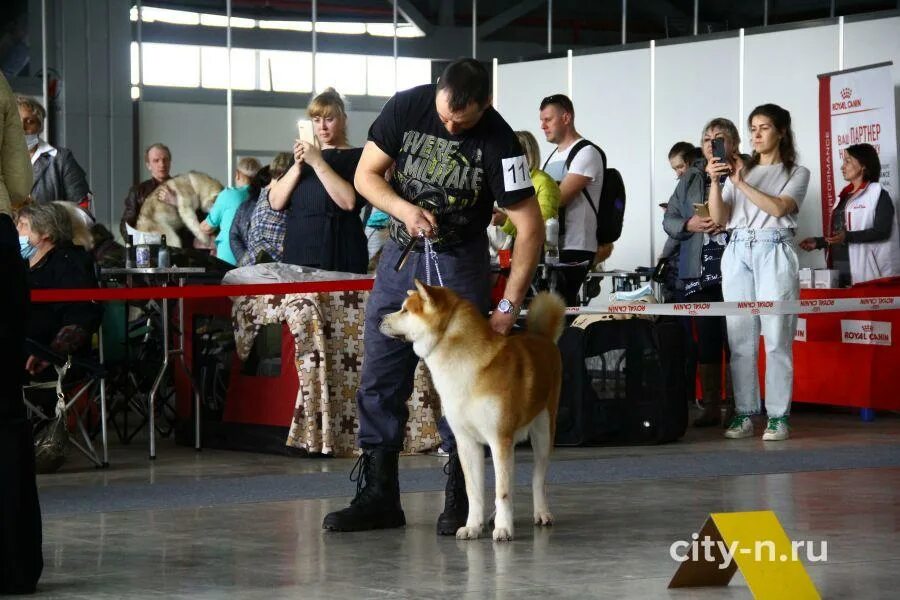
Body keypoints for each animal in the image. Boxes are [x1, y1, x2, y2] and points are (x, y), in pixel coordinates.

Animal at [378, 282, 564, 544]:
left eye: (405, 310)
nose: (379, 319)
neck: (466, 365)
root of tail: (542, 338)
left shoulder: (499, 439)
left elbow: (502, 491)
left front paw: (503, 529)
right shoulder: (466, 442)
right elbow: (474, 491)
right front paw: (472, 526)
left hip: (543, 432)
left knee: (538, 479)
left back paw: (541, 513)